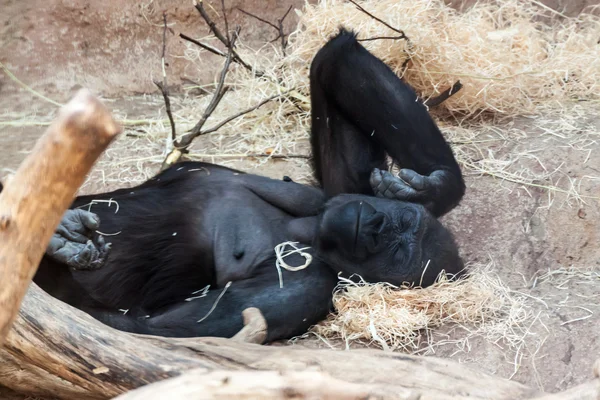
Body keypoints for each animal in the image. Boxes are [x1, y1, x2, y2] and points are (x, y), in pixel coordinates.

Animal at [31, 28, 464, 342]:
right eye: (400, 225)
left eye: (397, 251)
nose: (375, 226)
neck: (304, 229)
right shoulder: (337, 193)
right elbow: (336, 60)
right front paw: (438, 186)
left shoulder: (304, 287)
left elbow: (142, 329)